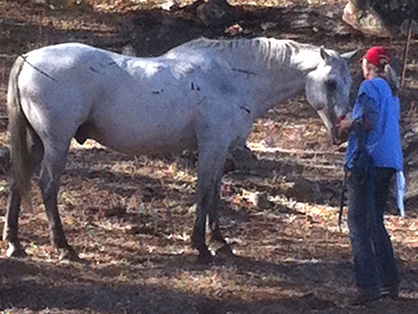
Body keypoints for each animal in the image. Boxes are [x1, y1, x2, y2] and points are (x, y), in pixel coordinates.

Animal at [3, 37, 356, 262]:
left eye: (349, 83)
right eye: (331, 83)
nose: (343, 131)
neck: (232, 78)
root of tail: (27, 59)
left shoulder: (220, 149)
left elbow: (214, 193)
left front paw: (220, 242)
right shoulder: (212, 146)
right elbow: (203, 192)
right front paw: (201, 246)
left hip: (36, 142)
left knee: (18, 182)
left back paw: (15, 244)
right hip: (55, 142)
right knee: (48, 186)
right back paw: (64, 248)